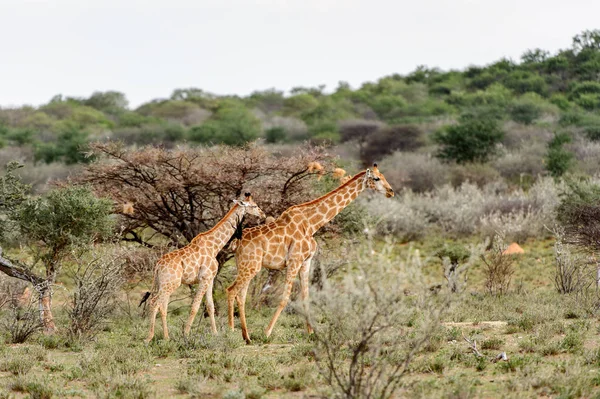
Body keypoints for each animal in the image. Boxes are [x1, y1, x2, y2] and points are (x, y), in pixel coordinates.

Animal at [143, 194, 264, 344]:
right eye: (254, 206)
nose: (263, 214)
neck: (215, 246)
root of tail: (158, 265)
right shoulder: (204, 278)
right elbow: (195, 307)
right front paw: (186, 334)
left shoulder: (210, 279)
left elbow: (210, 306)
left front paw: (215, 333)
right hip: (170, 284)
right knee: (154, 303)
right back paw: (149, 337)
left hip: (164, 284)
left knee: (161, 305)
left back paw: (166, 337)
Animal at [225, 164, 394, 346]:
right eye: (376, 178)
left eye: (383, 176)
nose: (391, 191)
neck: (312, 224)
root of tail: (236, 244)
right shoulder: (294, 260)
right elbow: (285, 298)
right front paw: (267, 332)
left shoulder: (306, 262)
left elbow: (305, 297)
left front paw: (311, 332)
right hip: (251, 266)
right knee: (231, 290)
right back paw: (231, 332)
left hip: (246, 266)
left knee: (241, 296)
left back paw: (246, 337)